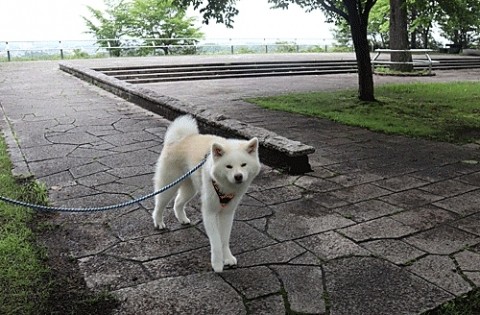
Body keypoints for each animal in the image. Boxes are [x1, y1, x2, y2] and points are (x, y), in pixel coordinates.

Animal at [153, 115, 258, 272]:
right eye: (228, 166)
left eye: (243, 165)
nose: (238, 176)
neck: (225, 188)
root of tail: (182, 137)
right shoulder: (209, 212)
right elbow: (216, 241)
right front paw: (217, 263)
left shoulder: (227, 213)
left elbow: (224, 239)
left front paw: (228, 258)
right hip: (169, 185)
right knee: (159, 204)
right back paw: (159, 222)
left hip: (191, 188)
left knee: (178, 203)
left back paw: (182, 219)